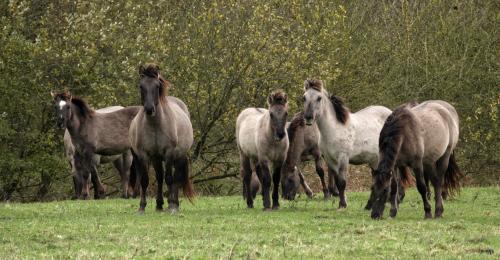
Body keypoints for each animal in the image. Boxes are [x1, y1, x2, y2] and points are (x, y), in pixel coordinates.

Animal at [128, 63, 194, 213]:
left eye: (157, 86)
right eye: (141, 86)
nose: (149, 109)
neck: (155, 126)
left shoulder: (169, 153)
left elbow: (169, 179)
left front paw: (171, 205)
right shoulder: (144, 155)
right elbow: (145, 180)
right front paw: (142, 207)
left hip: (178, 157)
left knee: (176, 178)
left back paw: (175, 203)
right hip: (156, 159)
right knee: (159, 177)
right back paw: (159, 205)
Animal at [302, 79, 392, 209]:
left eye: (319, 98)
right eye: (304, 97)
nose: (308, 117)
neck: (334, 128)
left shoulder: (343, 158)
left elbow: (342, 182)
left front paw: (343, 204)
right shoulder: (330, 159)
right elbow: (337, 181)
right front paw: (341, 202)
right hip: (375, 159)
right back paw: (371, 204)